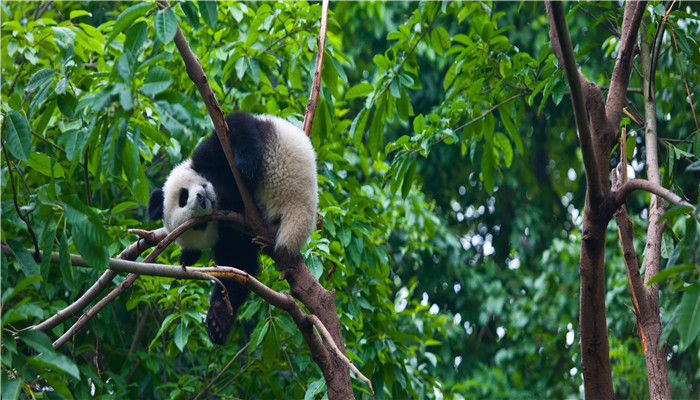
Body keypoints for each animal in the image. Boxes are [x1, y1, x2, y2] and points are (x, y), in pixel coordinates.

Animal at [150, 111, 320, 344]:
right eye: (198, 226)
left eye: (183, 197)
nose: (202, 199)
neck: (222, 193)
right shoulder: (230, 233)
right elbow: (238, 266)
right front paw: (217, 321)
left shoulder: (209, 157)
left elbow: (235, 126)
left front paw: (245, 164)